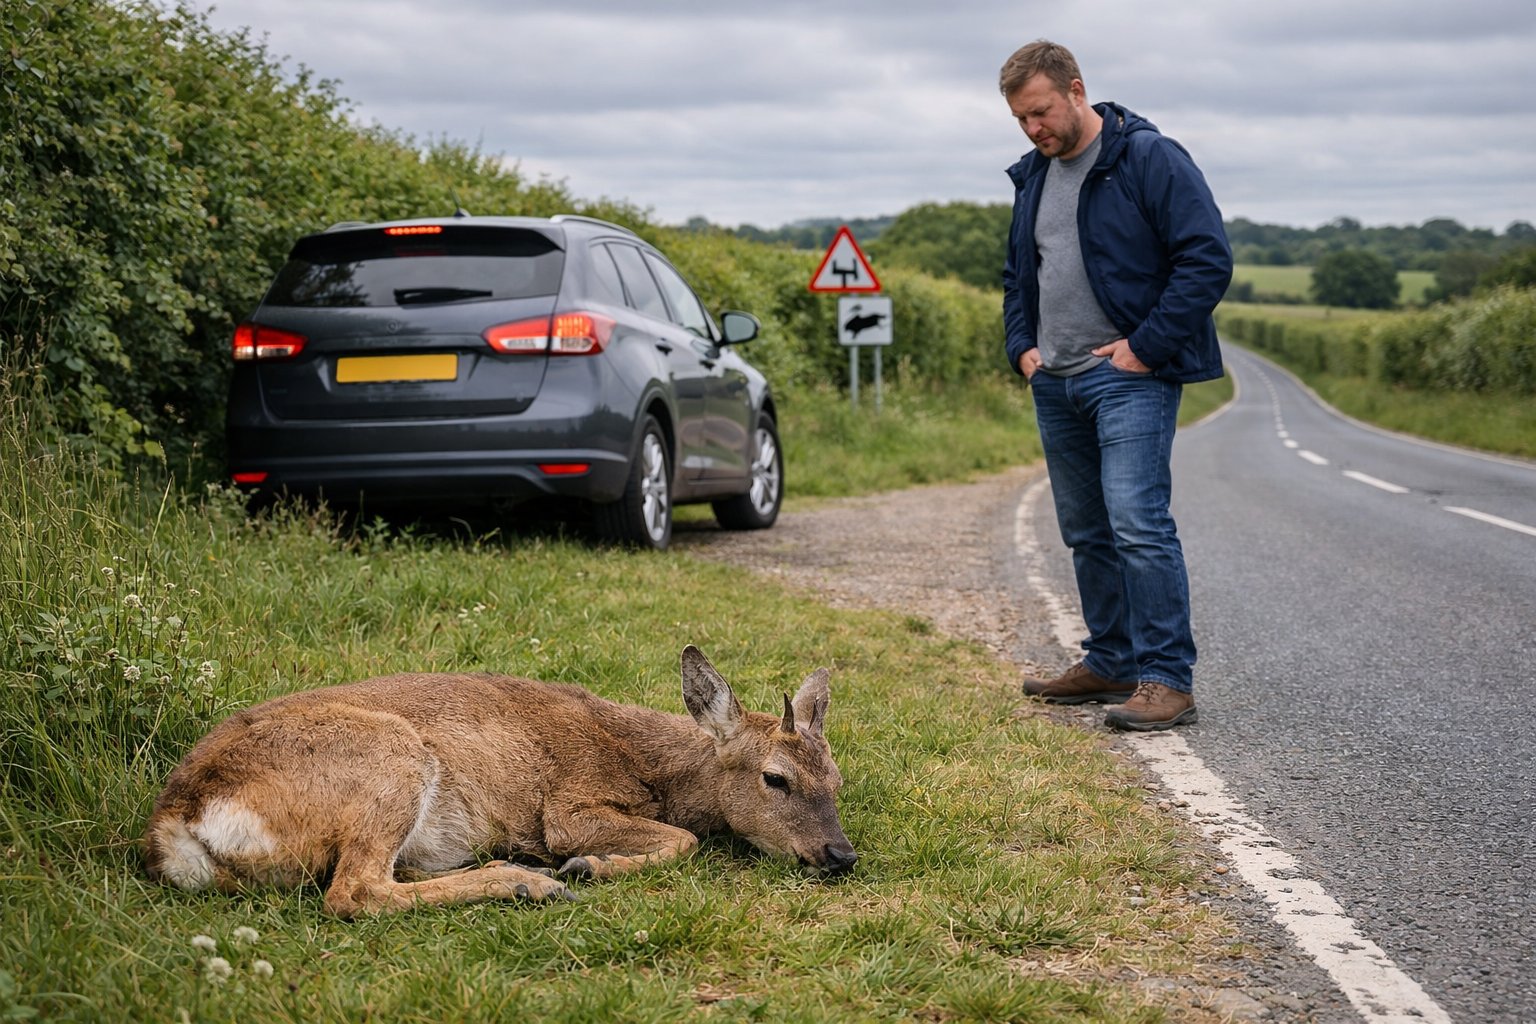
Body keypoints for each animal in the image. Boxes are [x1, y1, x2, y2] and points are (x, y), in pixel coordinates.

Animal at [142, 645, 856, 917]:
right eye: (775, 779)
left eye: (837, 779)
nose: (840, 854)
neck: (648, 764)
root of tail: (175, 823)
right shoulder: (568, 805)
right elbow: (684, 840)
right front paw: (586, 866)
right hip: (390, 756)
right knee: (353, 891)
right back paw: (527, 881)